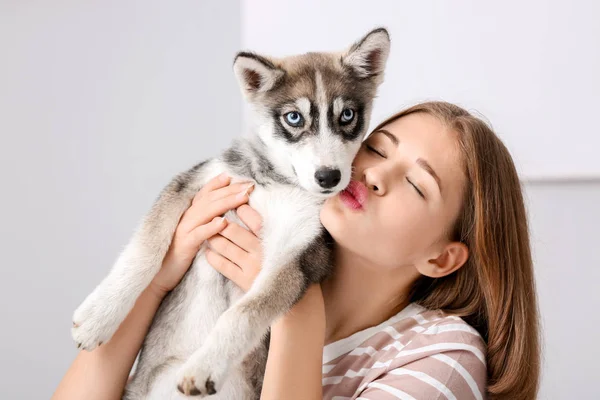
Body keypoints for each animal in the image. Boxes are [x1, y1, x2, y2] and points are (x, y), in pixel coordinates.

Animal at [71, 26, 390, 398]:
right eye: (294, 117)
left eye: (348, 115)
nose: (329, 177)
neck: (279, 183)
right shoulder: (195, 183)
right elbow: (147, 251)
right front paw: (98, 317)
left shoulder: (298, 254)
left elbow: (246, 311)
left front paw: (205, 365)